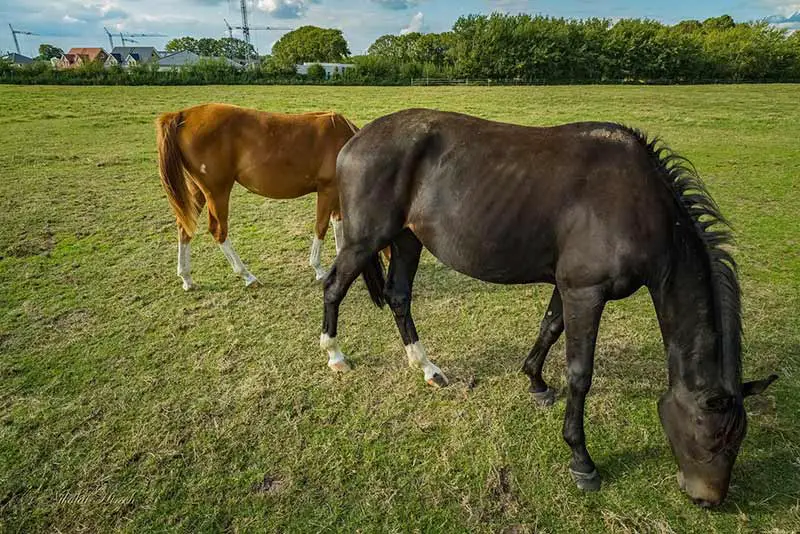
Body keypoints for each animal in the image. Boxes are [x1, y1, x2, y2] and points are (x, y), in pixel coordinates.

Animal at [156, 103, 356, 292]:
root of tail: (183, 115)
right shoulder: (327, 190)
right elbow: (321, 227)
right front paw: (319, 269)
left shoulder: (336, 192)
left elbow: (338, 223)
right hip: (217, 191)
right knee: (218, 231)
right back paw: (247, 276)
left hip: (196, 191)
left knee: (184, 227)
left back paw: (187, 278)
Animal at [318, 108, 776, 506]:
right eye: (714, 436)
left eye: (739, 438)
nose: (708, 500)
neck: (638, 201)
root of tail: (356, 137)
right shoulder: (585, 292)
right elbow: (580, 373)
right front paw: (581, 460)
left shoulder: (568, 286)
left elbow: (549, 329)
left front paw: (535, 381)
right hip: (365, 240)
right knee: (332, 286)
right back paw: (335, 355)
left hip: (407, 238)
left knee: (398, 297)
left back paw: (427, 367)